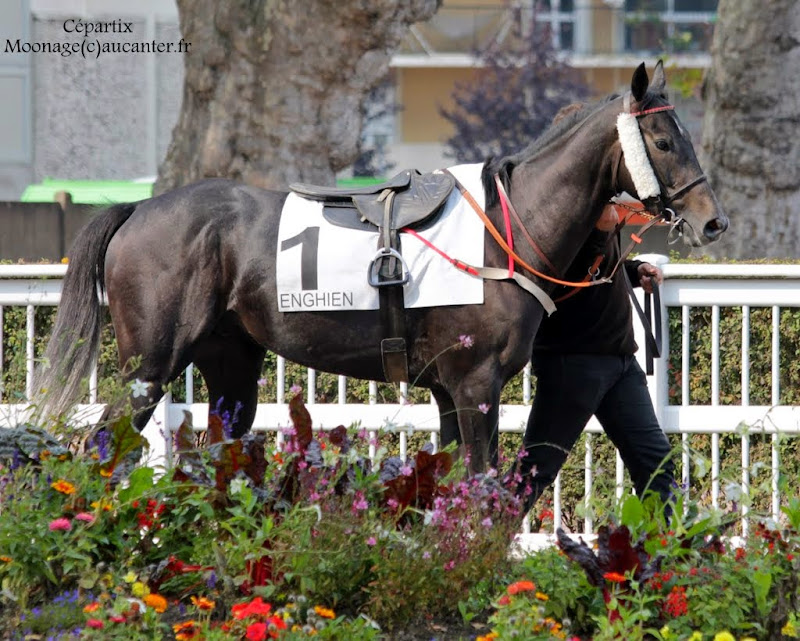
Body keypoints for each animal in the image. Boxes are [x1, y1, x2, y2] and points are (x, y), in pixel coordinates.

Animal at [36, 62, 724, 470]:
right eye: (665, 141)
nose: (711, 220)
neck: (503, 232)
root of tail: (138, 209)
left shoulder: (449, 389)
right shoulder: (475, 385)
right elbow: (481, 483)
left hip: (231, 364)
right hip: (149, 366)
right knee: (103, 448)